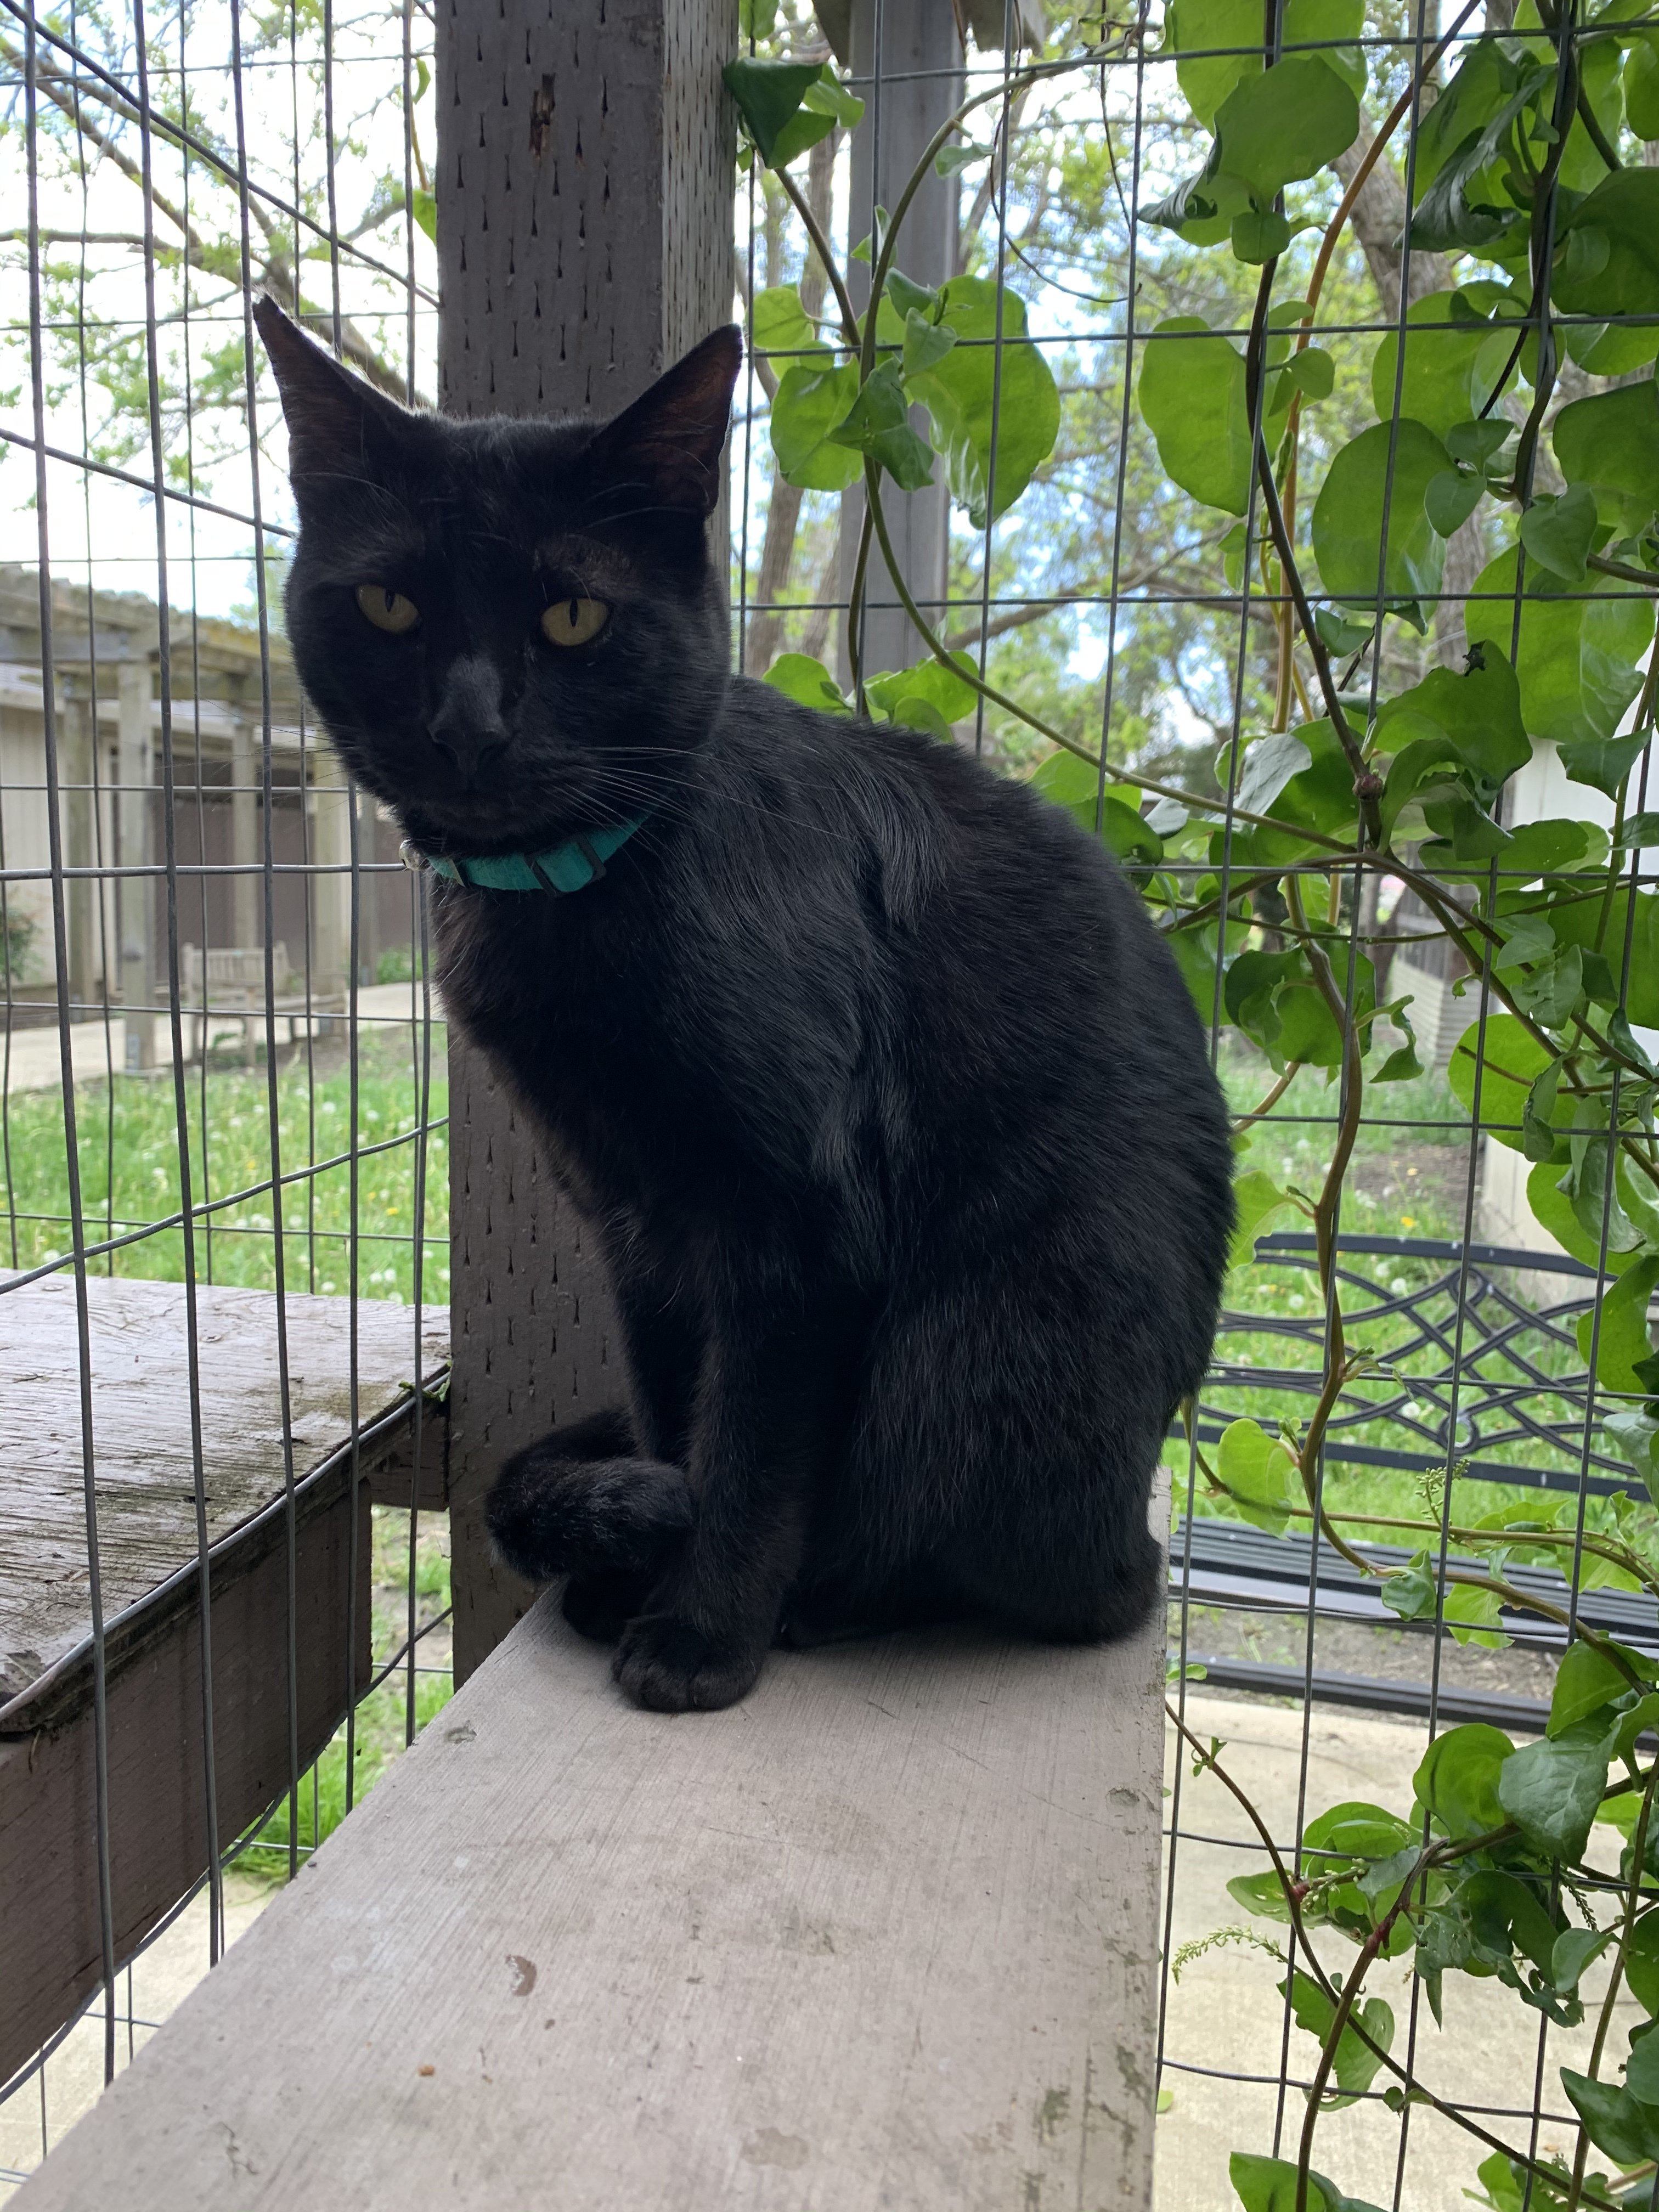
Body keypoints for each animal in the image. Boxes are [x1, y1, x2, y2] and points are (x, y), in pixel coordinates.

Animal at [250, 290, 1238, 1707]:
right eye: (389, 605)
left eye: (572, 619)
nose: (470, 728)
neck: (581, 896)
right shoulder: (641, 1230)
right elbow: (684, 1420)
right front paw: (641, 1559)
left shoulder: (802, 1232)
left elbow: (755, 1457)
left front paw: (701, 1636)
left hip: (992, 1337)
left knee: (1069, 1586)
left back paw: (826, 1602)